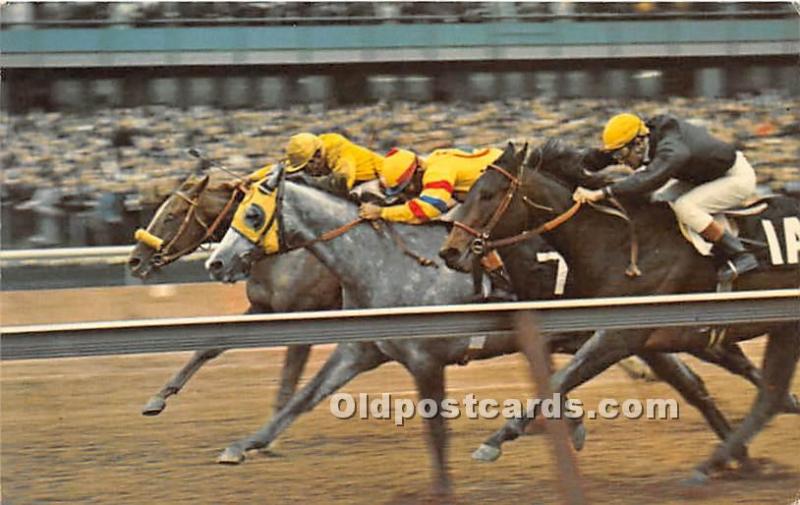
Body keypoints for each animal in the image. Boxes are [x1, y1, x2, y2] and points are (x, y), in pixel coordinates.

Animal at [206, 162, 788, 496]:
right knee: (696, 383)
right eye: (235, 210)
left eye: (253, 214)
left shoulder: (426, 358)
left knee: (707, 378)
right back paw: (742, 454)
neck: (384, 260)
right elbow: (300, 400)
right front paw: (243, 444)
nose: (216, 263)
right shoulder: (364, 349)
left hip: (637, 332)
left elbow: (436, 429)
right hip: (640, 335)